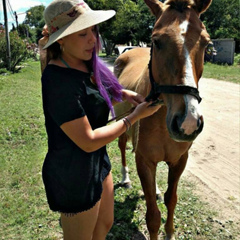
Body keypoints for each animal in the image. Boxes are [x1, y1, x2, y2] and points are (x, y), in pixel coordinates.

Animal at [113, 0, 211, 240]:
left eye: (206, 43)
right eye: (156, 41)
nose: (188, 122)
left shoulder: (180, 161)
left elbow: (171, 199)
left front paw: (170, 232)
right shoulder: (144, 161)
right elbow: (153, 216)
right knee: (121, 146)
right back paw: (125, 178)